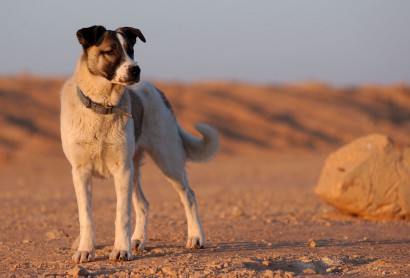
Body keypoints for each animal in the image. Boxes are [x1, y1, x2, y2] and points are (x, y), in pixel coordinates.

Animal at [60, 25, 218, 262]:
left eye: (131, 49)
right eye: (110, 51)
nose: (136, 70)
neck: (102, 108)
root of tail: (159, 92)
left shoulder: (121, 170)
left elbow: (122, 215)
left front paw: (120, 250)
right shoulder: (80, 172)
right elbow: (86, 216)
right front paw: (85, 249)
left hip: (166, 161)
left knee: (189, 195)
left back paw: (195, 237)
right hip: (135, 170)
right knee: (143, 204)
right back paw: (137, 240)